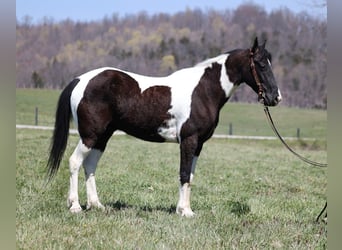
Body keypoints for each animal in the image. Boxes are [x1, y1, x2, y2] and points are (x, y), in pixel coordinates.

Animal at [46, 36, 282, 217]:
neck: (204, 91)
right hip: (90, 136)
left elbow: (190, 176)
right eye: (261, 64)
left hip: (102, 137)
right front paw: (185, 212)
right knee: (75, 162)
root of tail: (79, 80)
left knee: (90, 166)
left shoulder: (198, 145)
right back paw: (75, 206)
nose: (275, 98)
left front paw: (184, 209)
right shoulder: (188, 140)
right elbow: (184, 174)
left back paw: (96, 205)